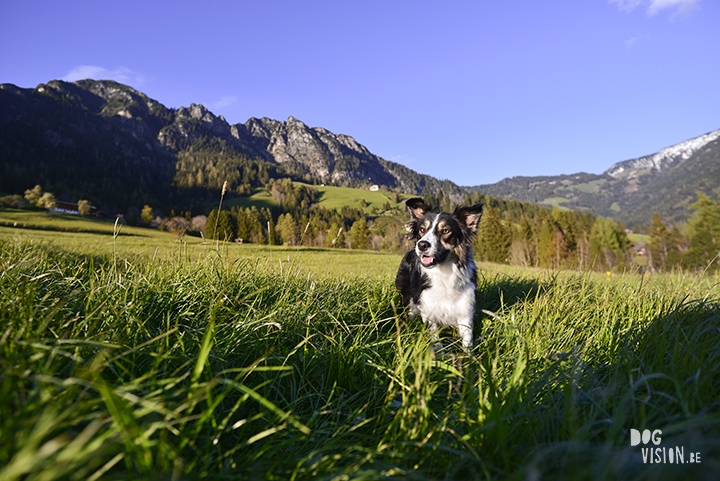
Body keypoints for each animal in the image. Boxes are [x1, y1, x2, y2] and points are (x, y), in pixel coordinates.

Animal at [394, 197, 484, 350]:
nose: (421, 245)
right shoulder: (428, 308)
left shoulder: (465, 309)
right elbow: (435, 339)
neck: (444, 272)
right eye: (422, 229)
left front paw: (467, 355)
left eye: (446, 230)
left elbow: (467, 340)